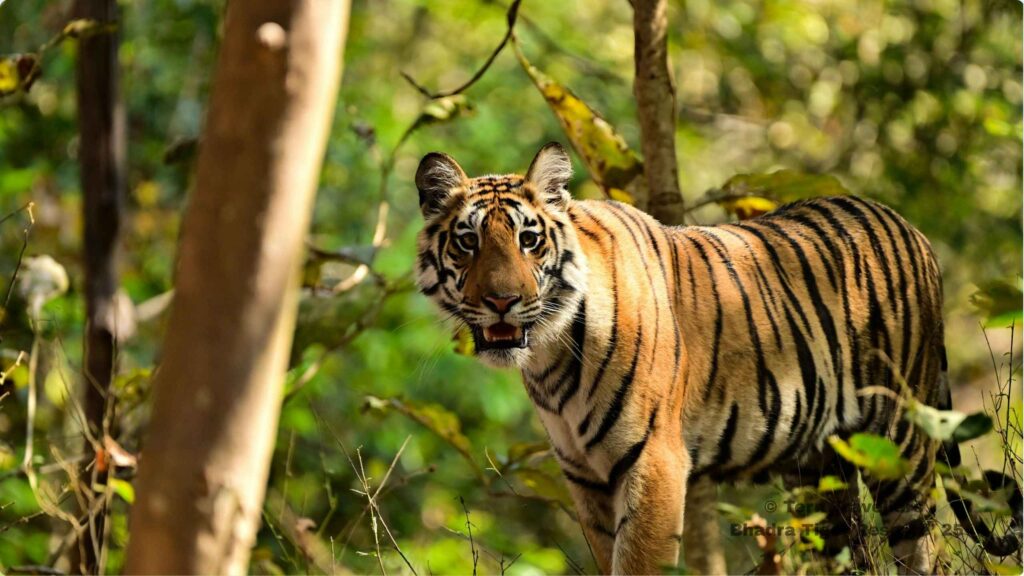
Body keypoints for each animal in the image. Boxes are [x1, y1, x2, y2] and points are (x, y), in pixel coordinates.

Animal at [413, 142, 1021, 574]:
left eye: (529, 239)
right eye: (467, 242)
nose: (502, 300)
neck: (550, 356)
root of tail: (911, 229)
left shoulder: (654, 463)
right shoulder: (585, 478)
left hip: (899, 446)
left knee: (922, 548)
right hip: (819, 471)